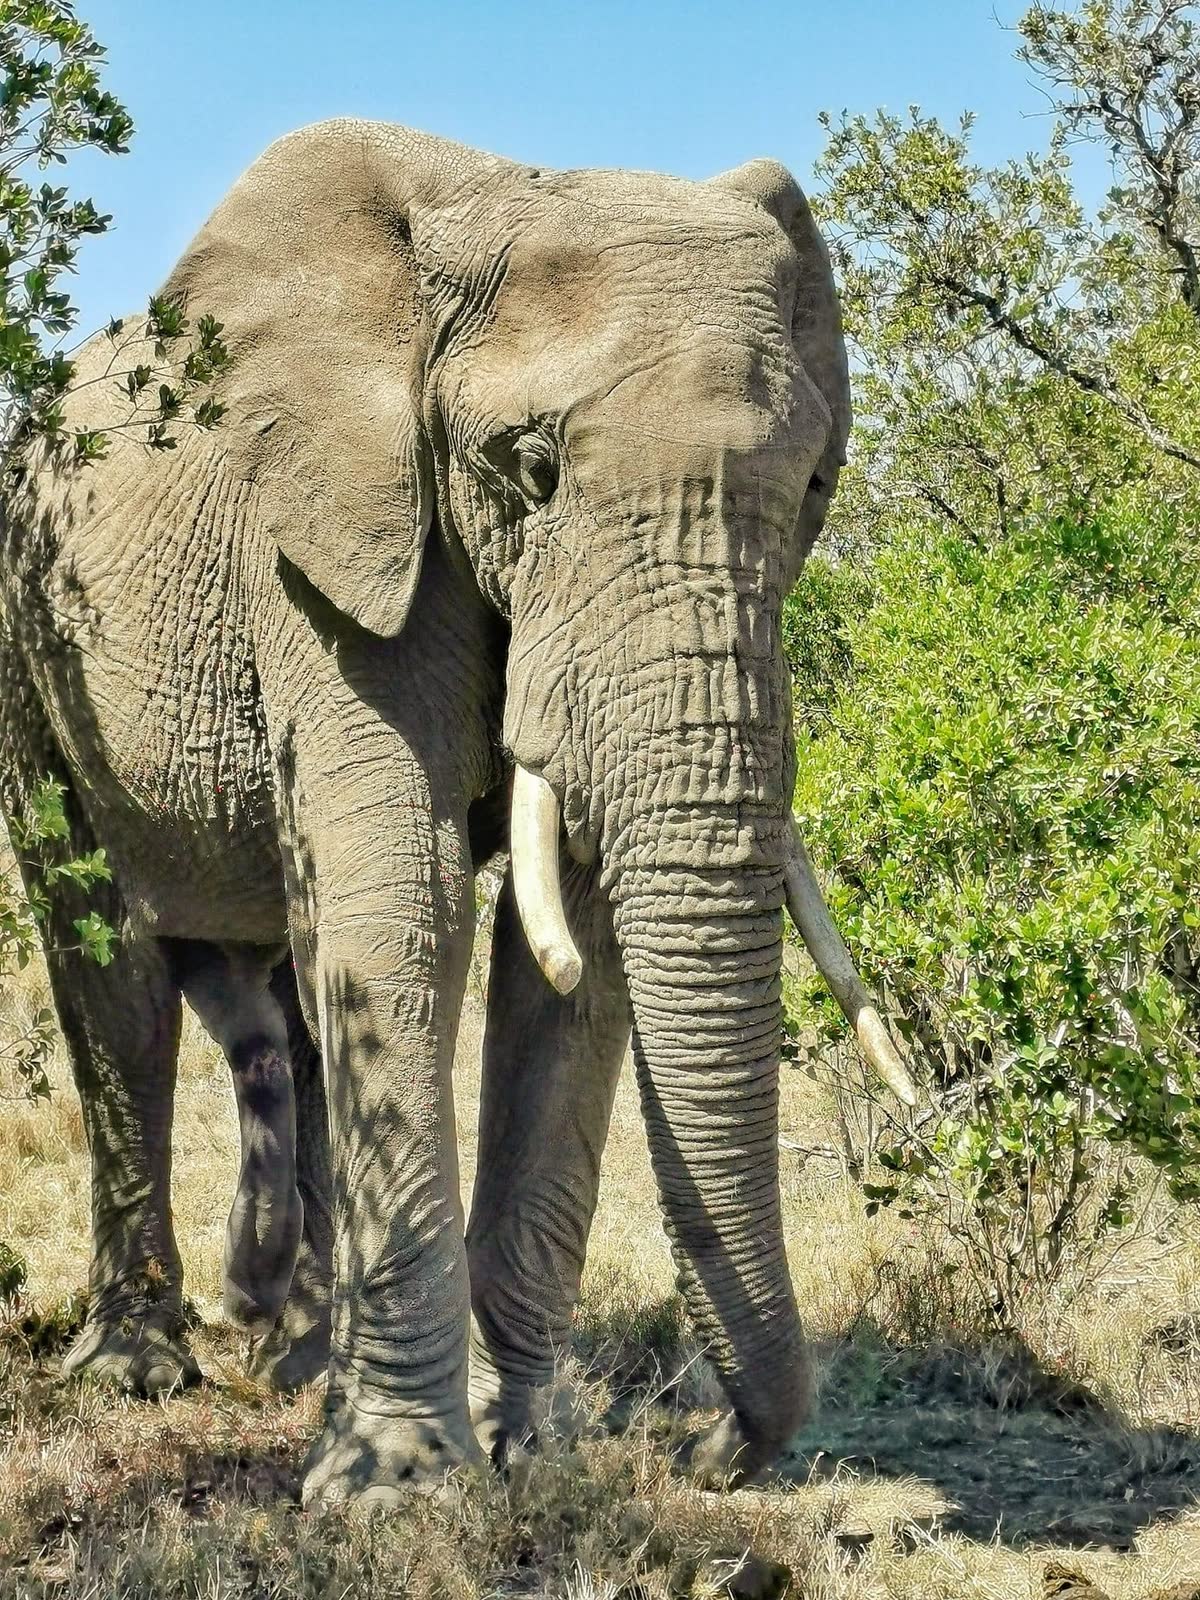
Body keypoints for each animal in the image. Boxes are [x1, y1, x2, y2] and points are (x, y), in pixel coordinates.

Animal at [0, 119, 915, 1506]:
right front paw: (395, 1488)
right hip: (30, 633)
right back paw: (140, 1370)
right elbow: (412, 909)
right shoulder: (327, 544)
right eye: (527, 471)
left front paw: (530, 1450)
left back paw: (296, 1357)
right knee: (111, 970)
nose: (703, 1447)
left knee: (286, 997)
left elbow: (566, 972)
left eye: (815, 483)